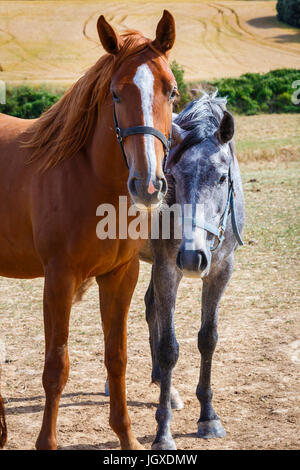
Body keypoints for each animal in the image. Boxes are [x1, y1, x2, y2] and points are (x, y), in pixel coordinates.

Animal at [0, 11, 176, 450]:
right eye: (115, 94)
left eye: (172, 91)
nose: (148, 185)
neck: (90, 179)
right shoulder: (59, 278)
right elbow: (56, 366)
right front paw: (46, 442)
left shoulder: (120, 276)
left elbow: (117, 358)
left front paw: (127, 437)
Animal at [76, 92, 245, 452]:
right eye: (175, 178)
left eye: (222, 178)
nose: (193, 257)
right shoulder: (168, 268)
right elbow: (169, 347)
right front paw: (163, 433)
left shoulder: (221, 271)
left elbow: (208, 338)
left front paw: (208, 417)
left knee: (150, 307)